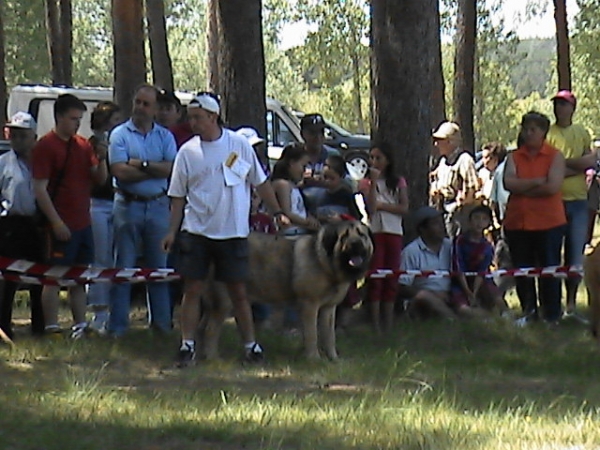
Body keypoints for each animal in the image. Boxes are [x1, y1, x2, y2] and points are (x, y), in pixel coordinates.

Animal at [199, 220, 372, 360]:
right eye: (344, 236)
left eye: (362, 235)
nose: (356, 244)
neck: (325, 263)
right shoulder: (310, 305)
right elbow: (312, 334)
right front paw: (314, 358)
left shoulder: (329, 308)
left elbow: (329, 335)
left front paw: (333, 359)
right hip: (224, 302)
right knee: (210, 330)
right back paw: (213, 358)